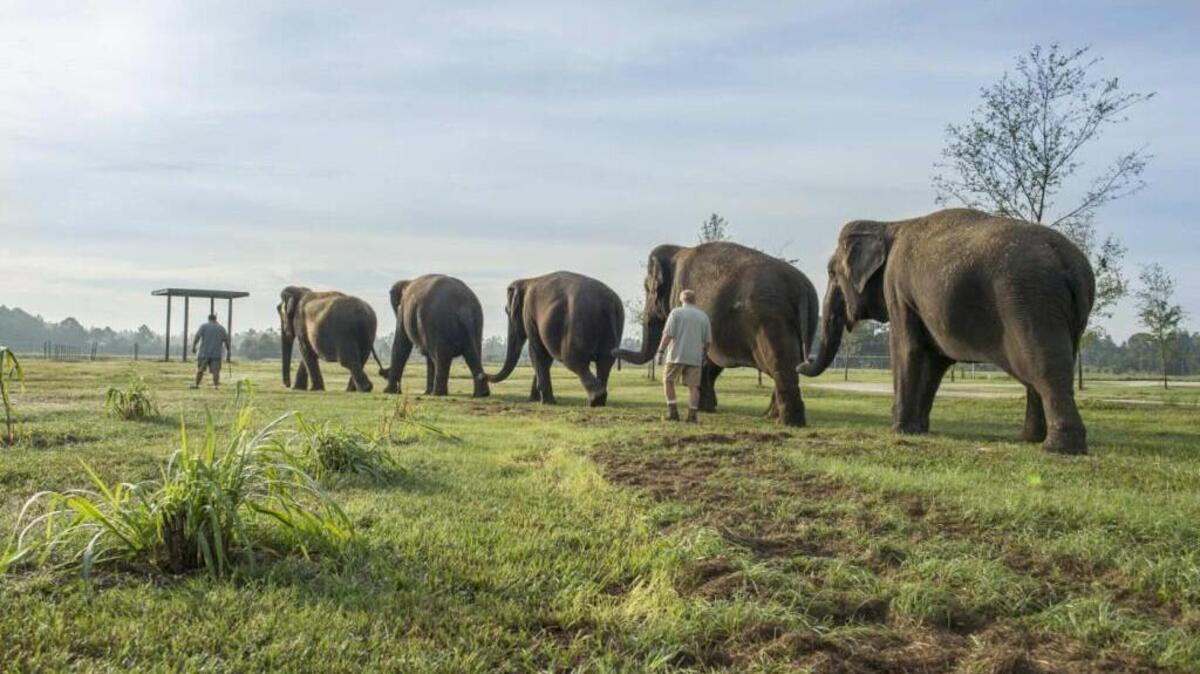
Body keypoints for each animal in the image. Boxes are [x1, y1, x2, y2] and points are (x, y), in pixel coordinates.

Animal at [486, 271, 624, 407]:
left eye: (506, 310)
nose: (485, 375)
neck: (527, 280)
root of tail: (607, 303)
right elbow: (545, 357)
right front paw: (535, 399)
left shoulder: (529, 314)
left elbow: (536, 352)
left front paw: (546, 402)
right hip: (614, 326)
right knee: (605, 362)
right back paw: (600, 401)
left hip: (578, 324)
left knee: (574, 360)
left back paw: (596, 399)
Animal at [614, 241, 819, 426]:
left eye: (647, 289)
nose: (614, 351)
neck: (677, 250)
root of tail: (801, 288)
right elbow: (710, 359)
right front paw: (708, 407)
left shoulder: (677, 298)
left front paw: (703, 408)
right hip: (807, 322)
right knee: (791, 364)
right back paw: (771, 416)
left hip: (771, 321)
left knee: (779, 366)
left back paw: (788, 421)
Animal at [798, 208, 1095, 454]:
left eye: (831, 273)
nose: (802, 363)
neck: (888, 225)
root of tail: (1071, 264)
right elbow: (935, 360)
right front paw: (918, 430)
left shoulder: (897, 287)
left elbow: (906, 349)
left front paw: (898, 430)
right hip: (1068, 316)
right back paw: (1031, 439)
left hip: (1031, 303)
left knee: (1044, 369)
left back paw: (1058, 448)